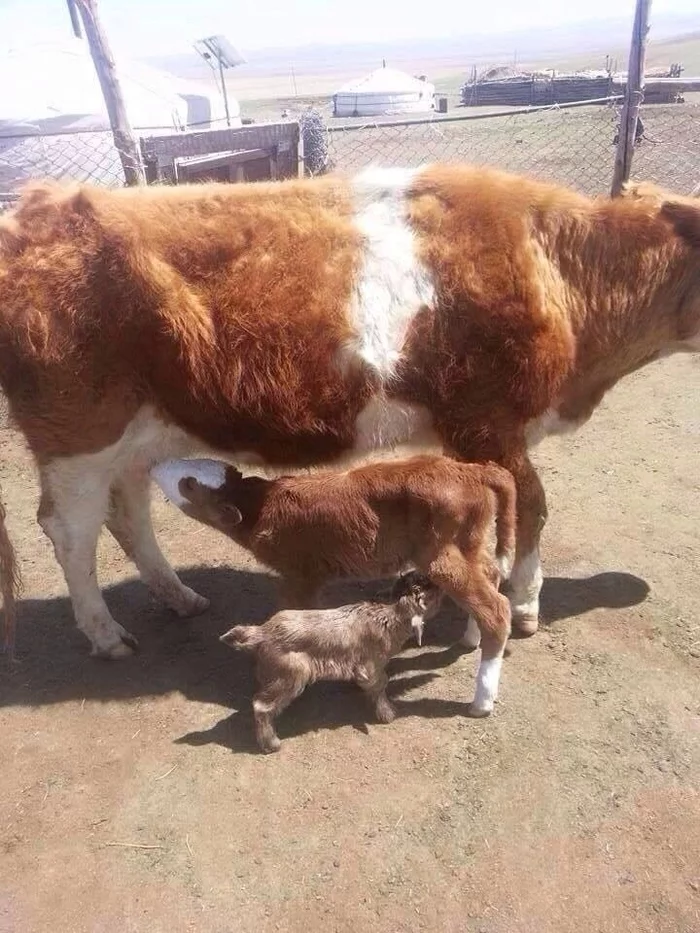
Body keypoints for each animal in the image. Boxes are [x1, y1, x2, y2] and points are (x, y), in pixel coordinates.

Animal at [0, 169, 696, 664]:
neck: (557, 269)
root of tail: (35, 210)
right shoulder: (488, 424)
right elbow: (531, 505)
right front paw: (521, 604)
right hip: (79, 436)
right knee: (69, 530)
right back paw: (105, 633)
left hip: (136, 434)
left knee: (128, 513)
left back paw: (180, 597)